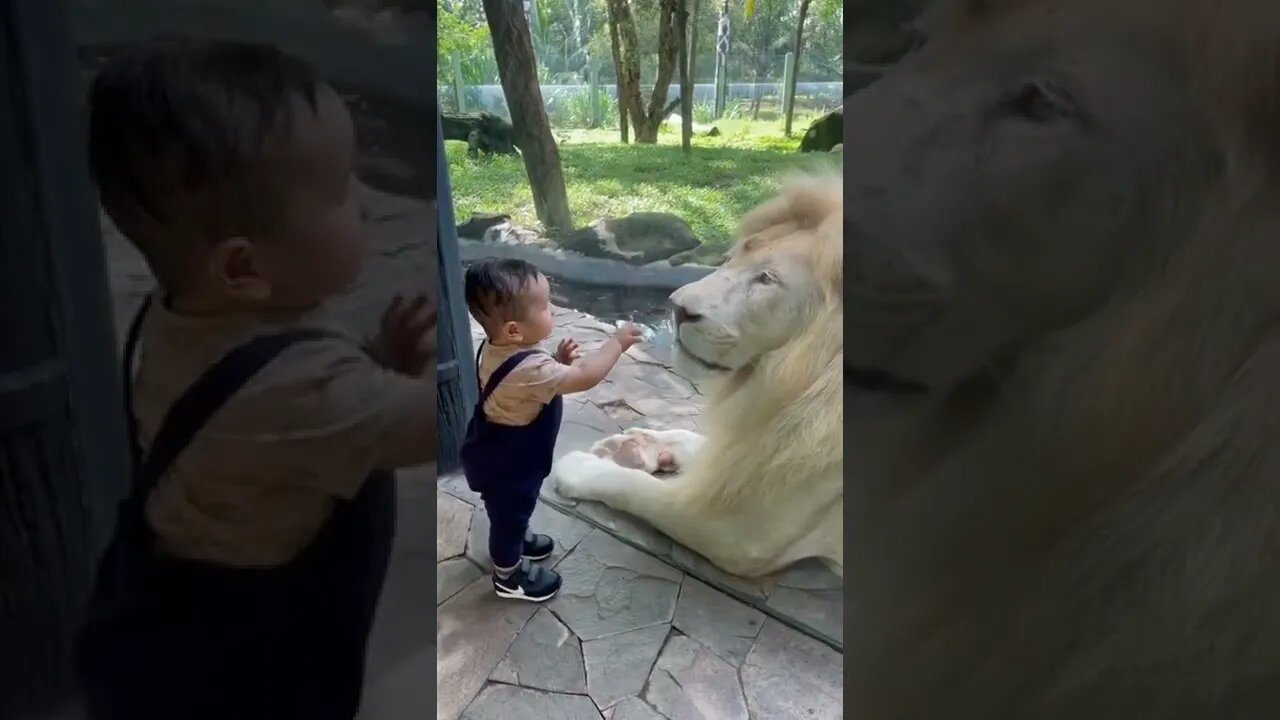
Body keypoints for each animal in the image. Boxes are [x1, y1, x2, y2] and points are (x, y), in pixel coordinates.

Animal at [550, 175, 839, 576]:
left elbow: (634, 489)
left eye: (766, 278)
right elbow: (701, 445)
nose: (676, 308)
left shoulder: (736, 533)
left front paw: (580, 467)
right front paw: (636, 445)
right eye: (731, 259)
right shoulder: (756, 446)